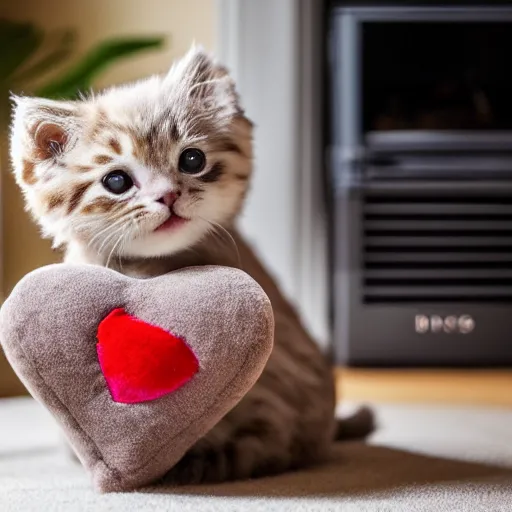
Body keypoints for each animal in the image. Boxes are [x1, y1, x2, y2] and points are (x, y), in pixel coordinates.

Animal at [10, 46, 374, 482]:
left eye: (192, 159)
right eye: (116, 181)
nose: (167, 195)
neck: (151, 268)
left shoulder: (280, 377)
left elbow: (258, 435)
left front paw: (198, 463)